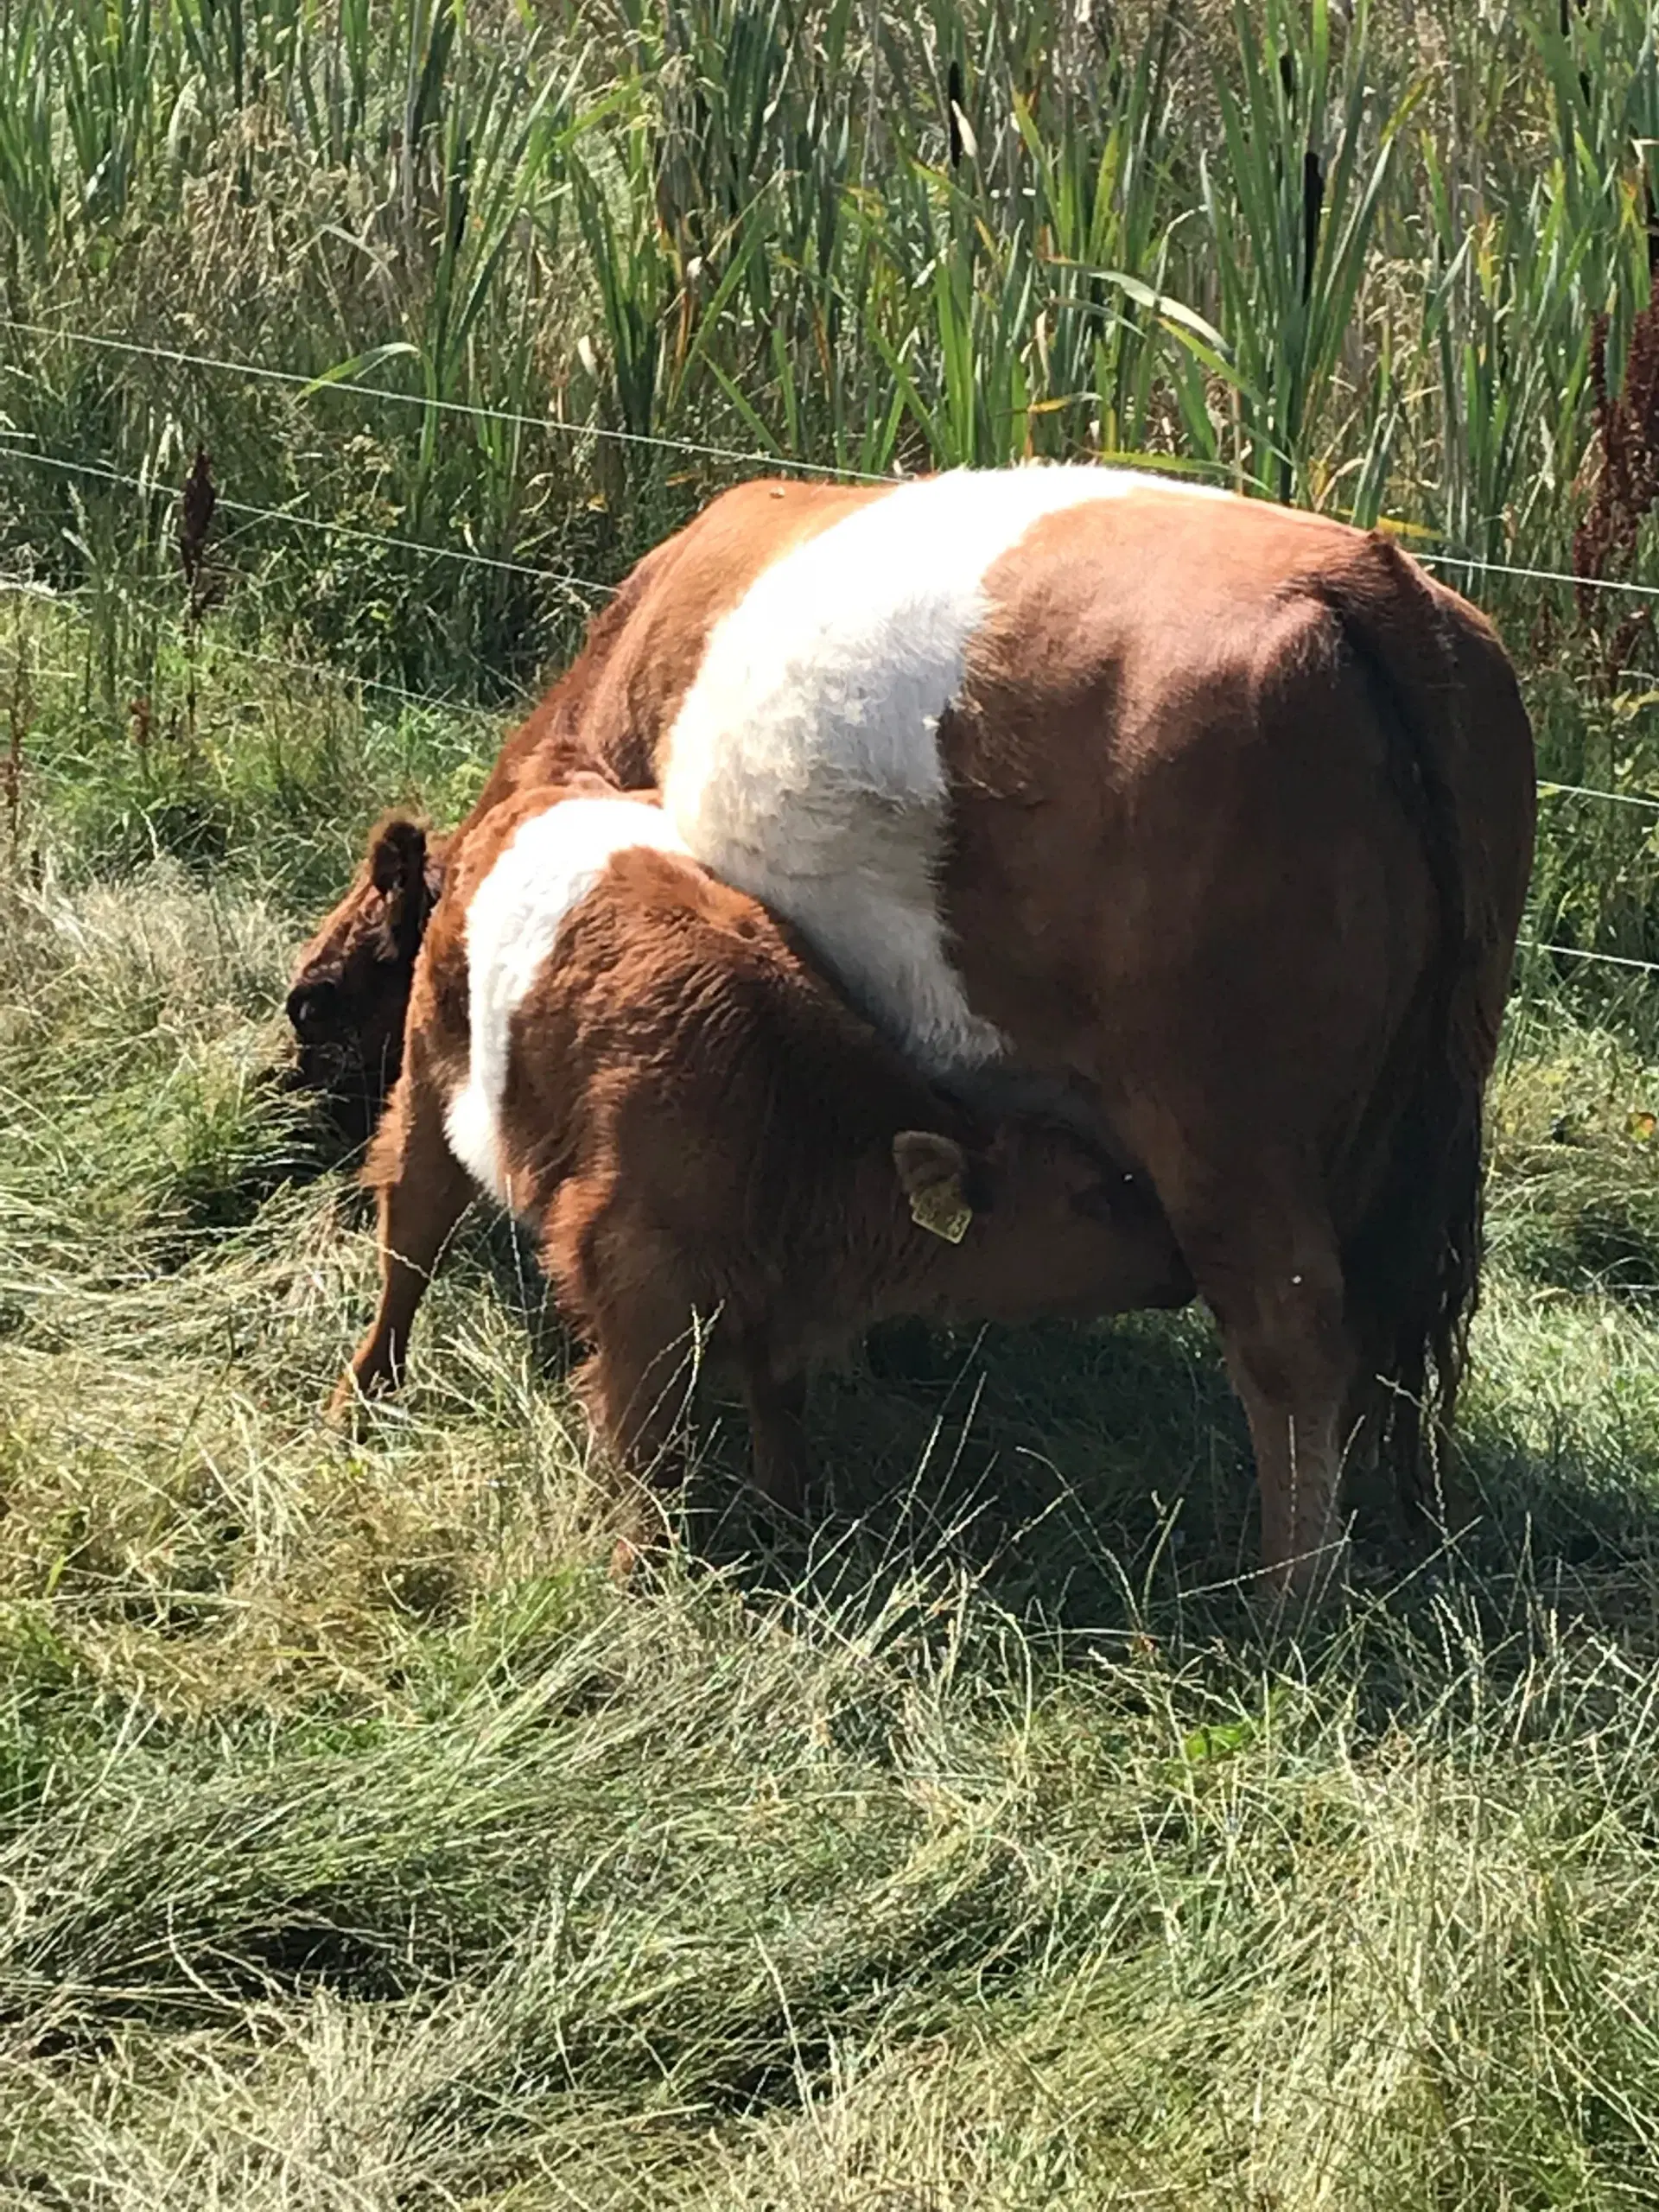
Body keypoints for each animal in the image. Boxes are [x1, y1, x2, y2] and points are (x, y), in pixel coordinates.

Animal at [338, 787, 1194, 1548]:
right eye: (1093, 1198)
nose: (1186, 1265)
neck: (792, 1122)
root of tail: (540, 793)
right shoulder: (641, 1289)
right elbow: (649, 1446)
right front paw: (637, 1569)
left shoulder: (779, 1312)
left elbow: (781, 1414)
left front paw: (790, 1527)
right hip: (429, 1086)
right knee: (409, 1240)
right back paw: (363, 1394)